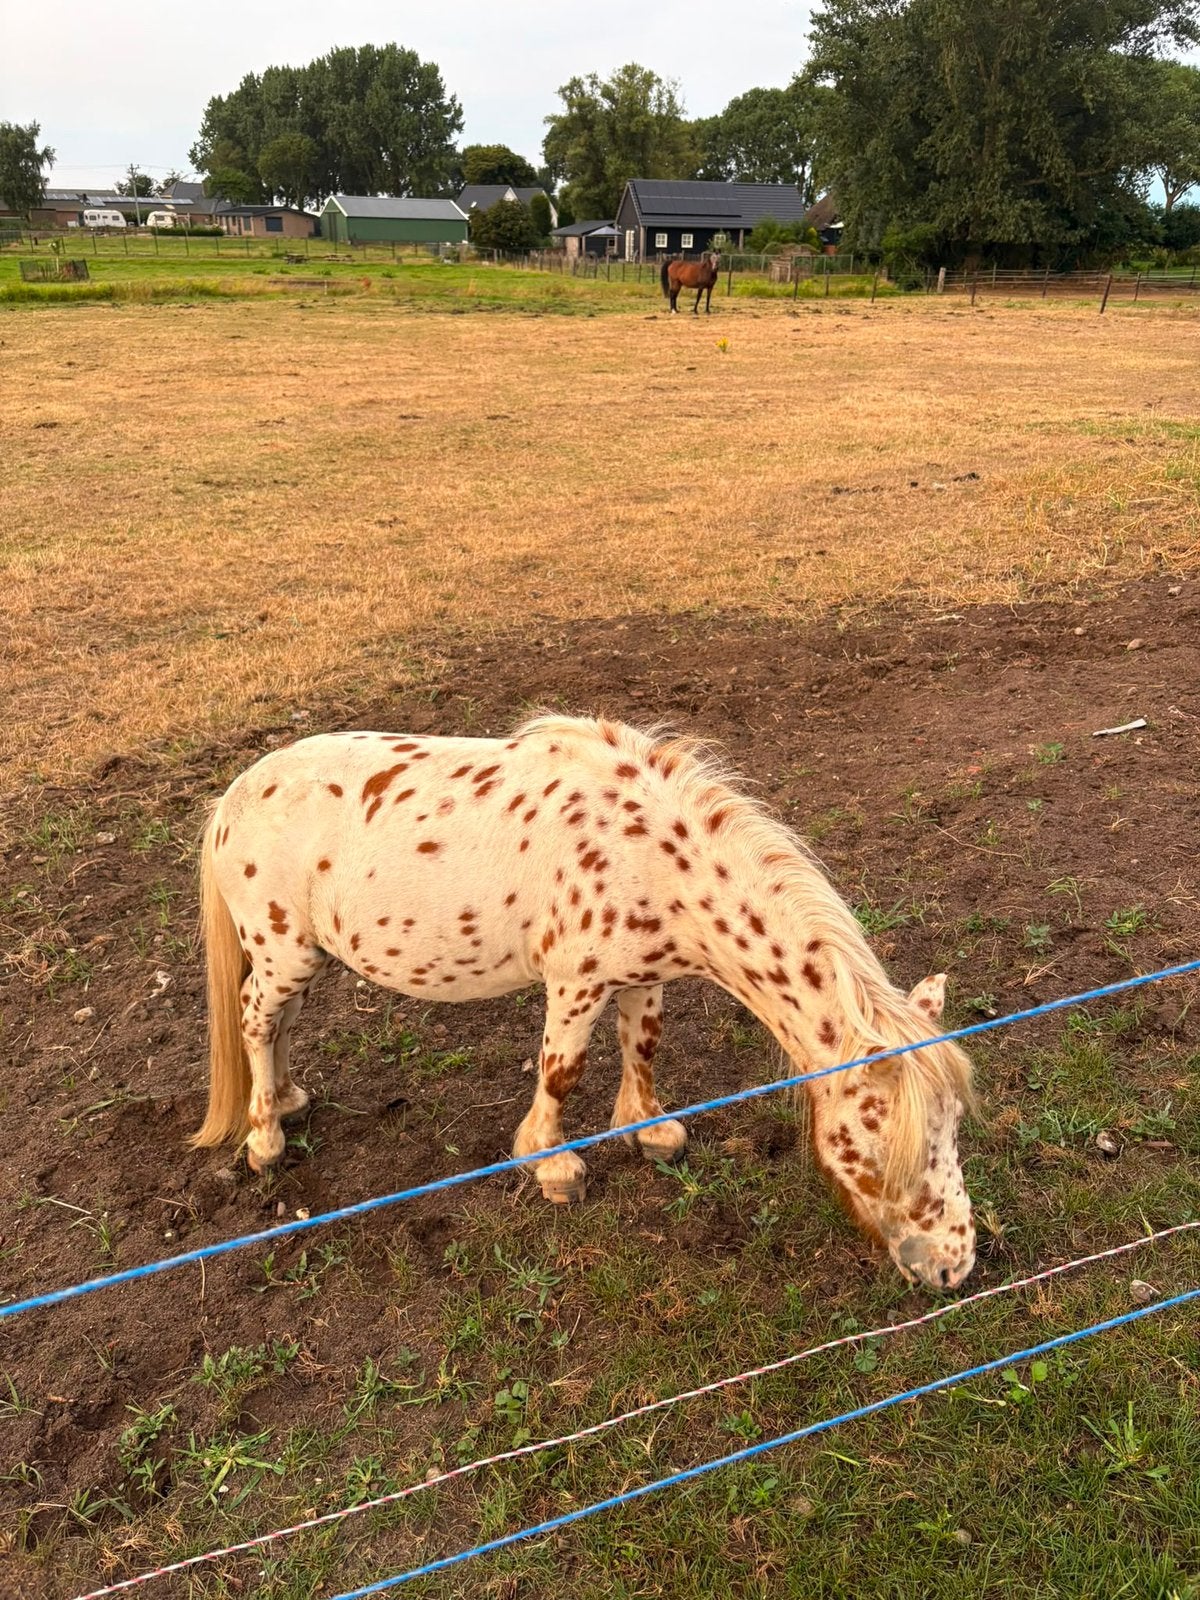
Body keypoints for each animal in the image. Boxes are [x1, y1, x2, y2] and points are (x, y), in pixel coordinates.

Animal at [193, 716, 977, 1292]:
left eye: (954, 1126)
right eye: (878, 1143)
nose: (955, 1266)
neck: (653, 855)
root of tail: (232, 799)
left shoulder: (644, 975)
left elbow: (643, 1046)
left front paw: (649, 1132)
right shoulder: (576, 985)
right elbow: (561, 1073)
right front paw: (553, 1168)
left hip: (303, 959)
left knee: (280, 1024)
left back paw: (288, 1100)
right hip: (283, 952)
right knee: (256, 1019)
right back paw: (265, 1139)